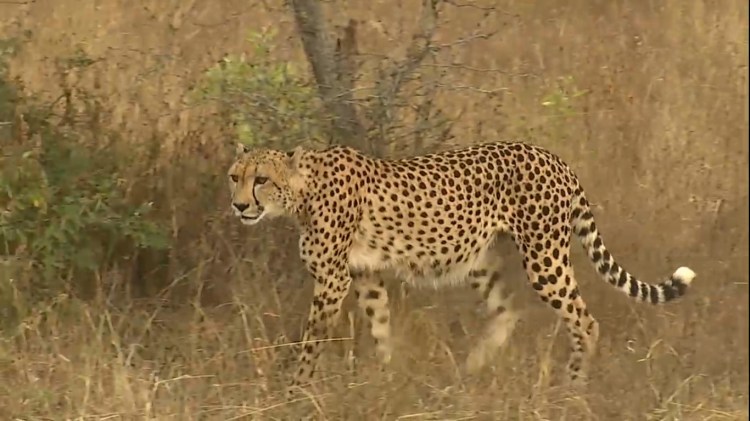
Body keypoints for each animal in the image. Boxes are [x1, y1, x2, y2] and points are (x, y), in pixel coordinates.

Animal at [227, 140, 696, 396]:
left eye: (261, 179)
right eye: (235, 177)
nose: (238, 205)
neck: (301, 192)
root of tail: (552, 156)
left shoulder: (332, 280)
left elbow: (310, 343)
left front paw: (296, 392)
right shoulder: (365, 275)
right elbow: (380, 327)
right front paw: (388, 377)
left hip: (544, 257)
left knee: (584, 320)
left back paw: (572, 387)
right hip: (479, 259)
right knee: (507, 311)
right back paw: (469, 370)